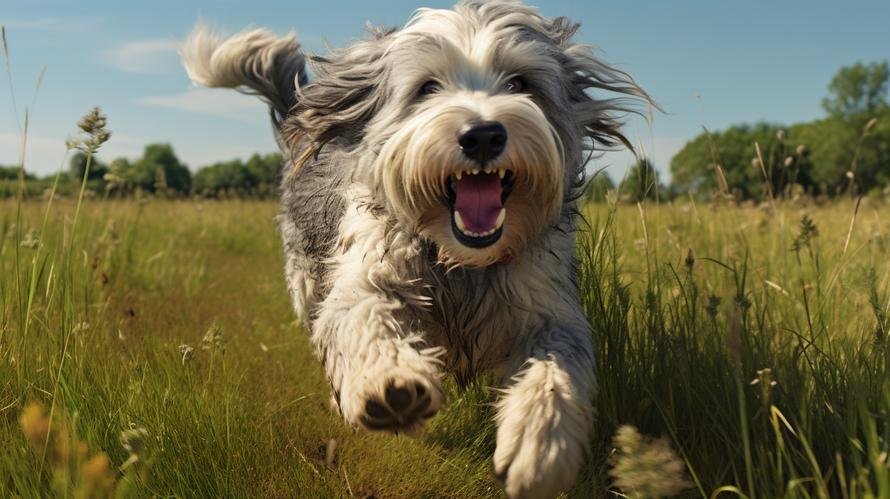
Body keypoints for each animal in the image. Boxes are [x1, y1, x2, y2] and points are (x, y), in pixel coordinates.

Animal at [180, 1, 648, 498]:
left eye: (521, 83)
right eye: (427, 88)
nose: (483, 135)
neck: (458, 259)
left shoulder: (545, 301)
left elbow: (557, 364)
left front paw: (542, 441)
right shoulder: (368, 269)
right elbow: (363, 314)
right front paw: (390, 385)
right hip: (306, 280)